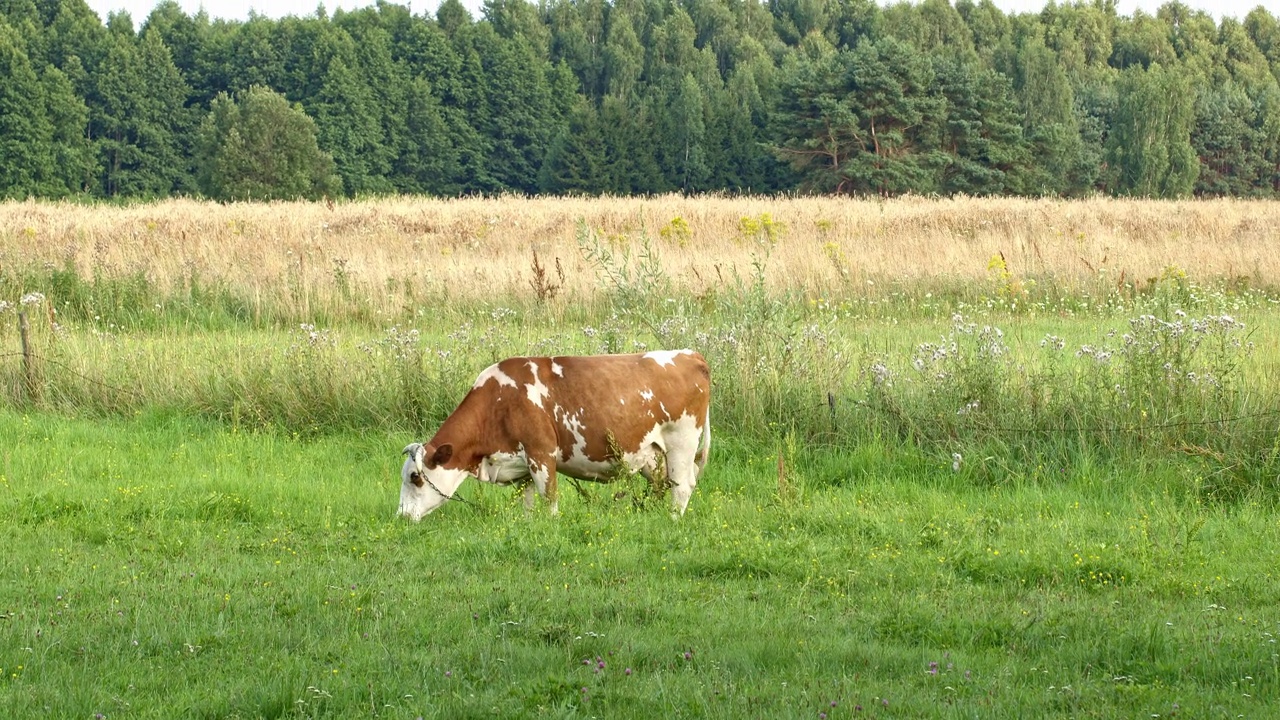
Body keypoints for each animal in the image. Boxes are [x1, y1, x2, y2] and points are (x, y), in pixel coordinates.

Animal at [396, 345, 711, 515]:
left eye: (415, 477)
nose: (402, 516)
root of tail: (690, 354)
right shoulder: (520, 462)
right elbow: (526, 501)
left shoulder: (541, 453)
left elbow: (549, 499)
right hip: (653, 455)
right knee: (662, 485)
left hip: (682, 444)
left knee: (682, 486)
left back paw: (672, 520)